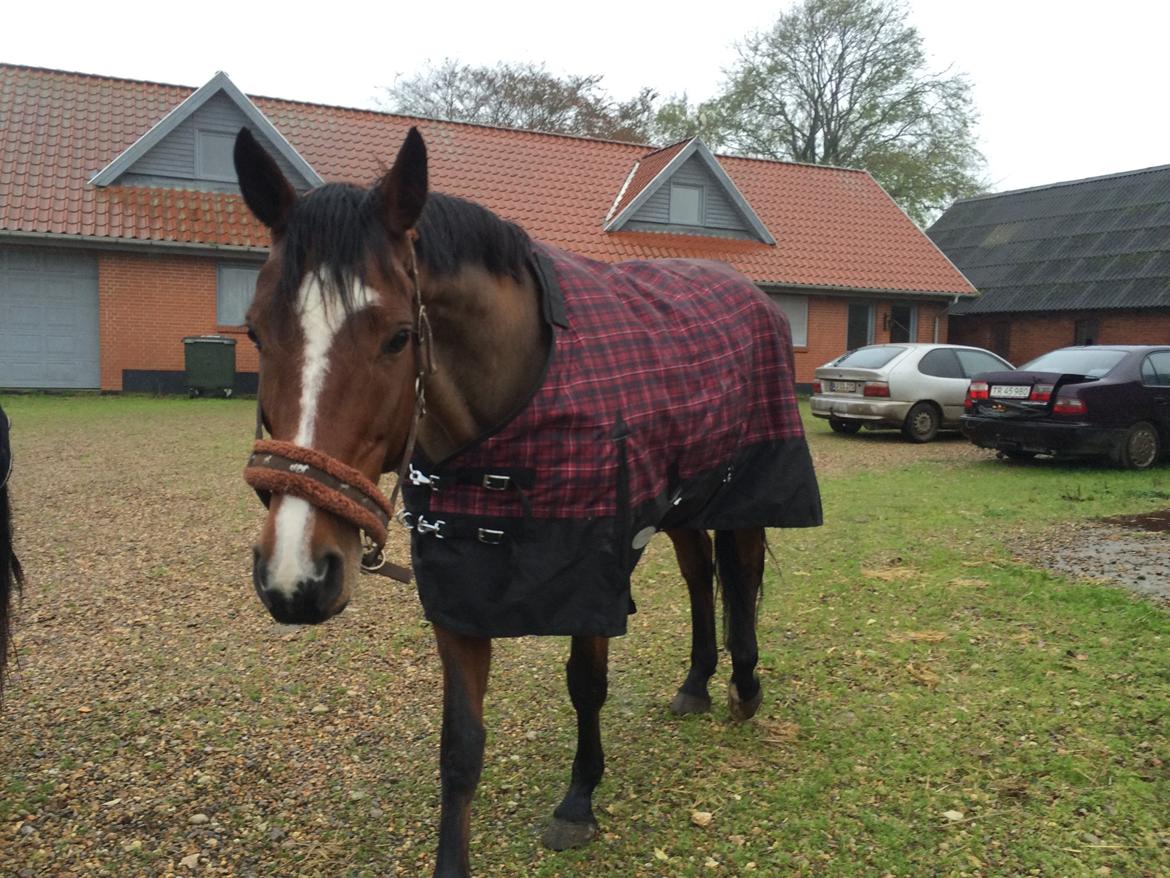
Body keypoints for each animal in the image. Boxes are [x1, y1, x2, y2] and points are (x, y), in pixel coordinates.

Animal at [233, 126, 821, 877]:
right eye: (255, 331)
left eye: (398, 336)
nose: (295, 577)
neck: (513, 411)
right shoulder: (459, 597)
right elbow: (460, 744)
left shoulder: (593, 577)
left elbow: (585, 684)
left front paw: (578, 801)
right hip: (682, 501)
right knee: (699, 574)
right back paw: (697, 682)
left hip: (744, 489)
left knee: (740, 573)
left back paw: (745, 687)